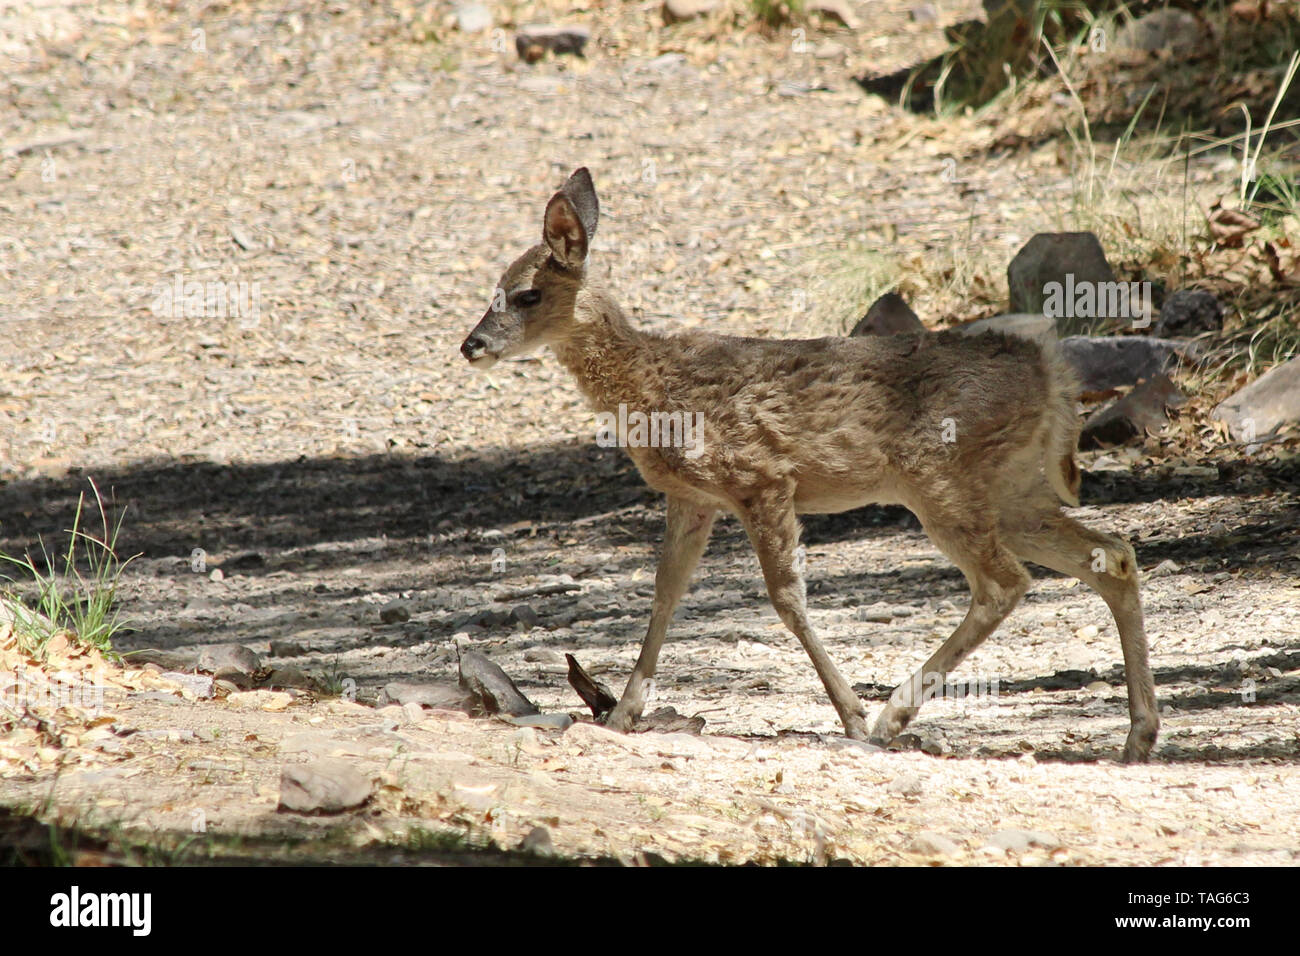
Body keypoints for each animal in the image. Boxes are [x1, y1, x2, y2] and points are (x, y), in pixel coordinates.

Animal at [457, 164, 1159, 764]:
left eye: (525, 294)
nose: (471, 345)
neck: (651, 386)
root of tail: (1052, 373)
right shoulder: (694, 497)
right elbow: (665, 592)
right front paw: (624, 713)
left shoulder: (761, 478)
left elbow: (786, 597)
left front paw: (850, 715)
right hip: (1011, 487)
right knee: (1111, 554)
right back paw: (1138, 737)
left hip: (942, 478)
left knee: (1004, 582)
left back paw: (890, 718)